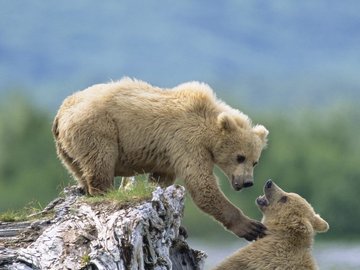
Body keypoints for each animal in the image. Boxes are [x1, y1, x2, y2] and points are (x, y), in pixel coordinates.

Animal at [52, 77, 268, 239]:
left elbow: (161, 180)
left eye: (255, 161)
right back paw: (104, 191)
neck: (208, 129)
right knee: (101, 162)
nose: (247, 182)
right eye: (240, 157)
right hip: (97, 128)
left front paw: (178, 224)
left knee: (80, 169)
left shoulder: (169, 155)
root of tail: (60, 113)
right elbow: (202, 185)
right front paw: (251, 227)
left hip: (67, 149)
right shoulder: (187, 143)